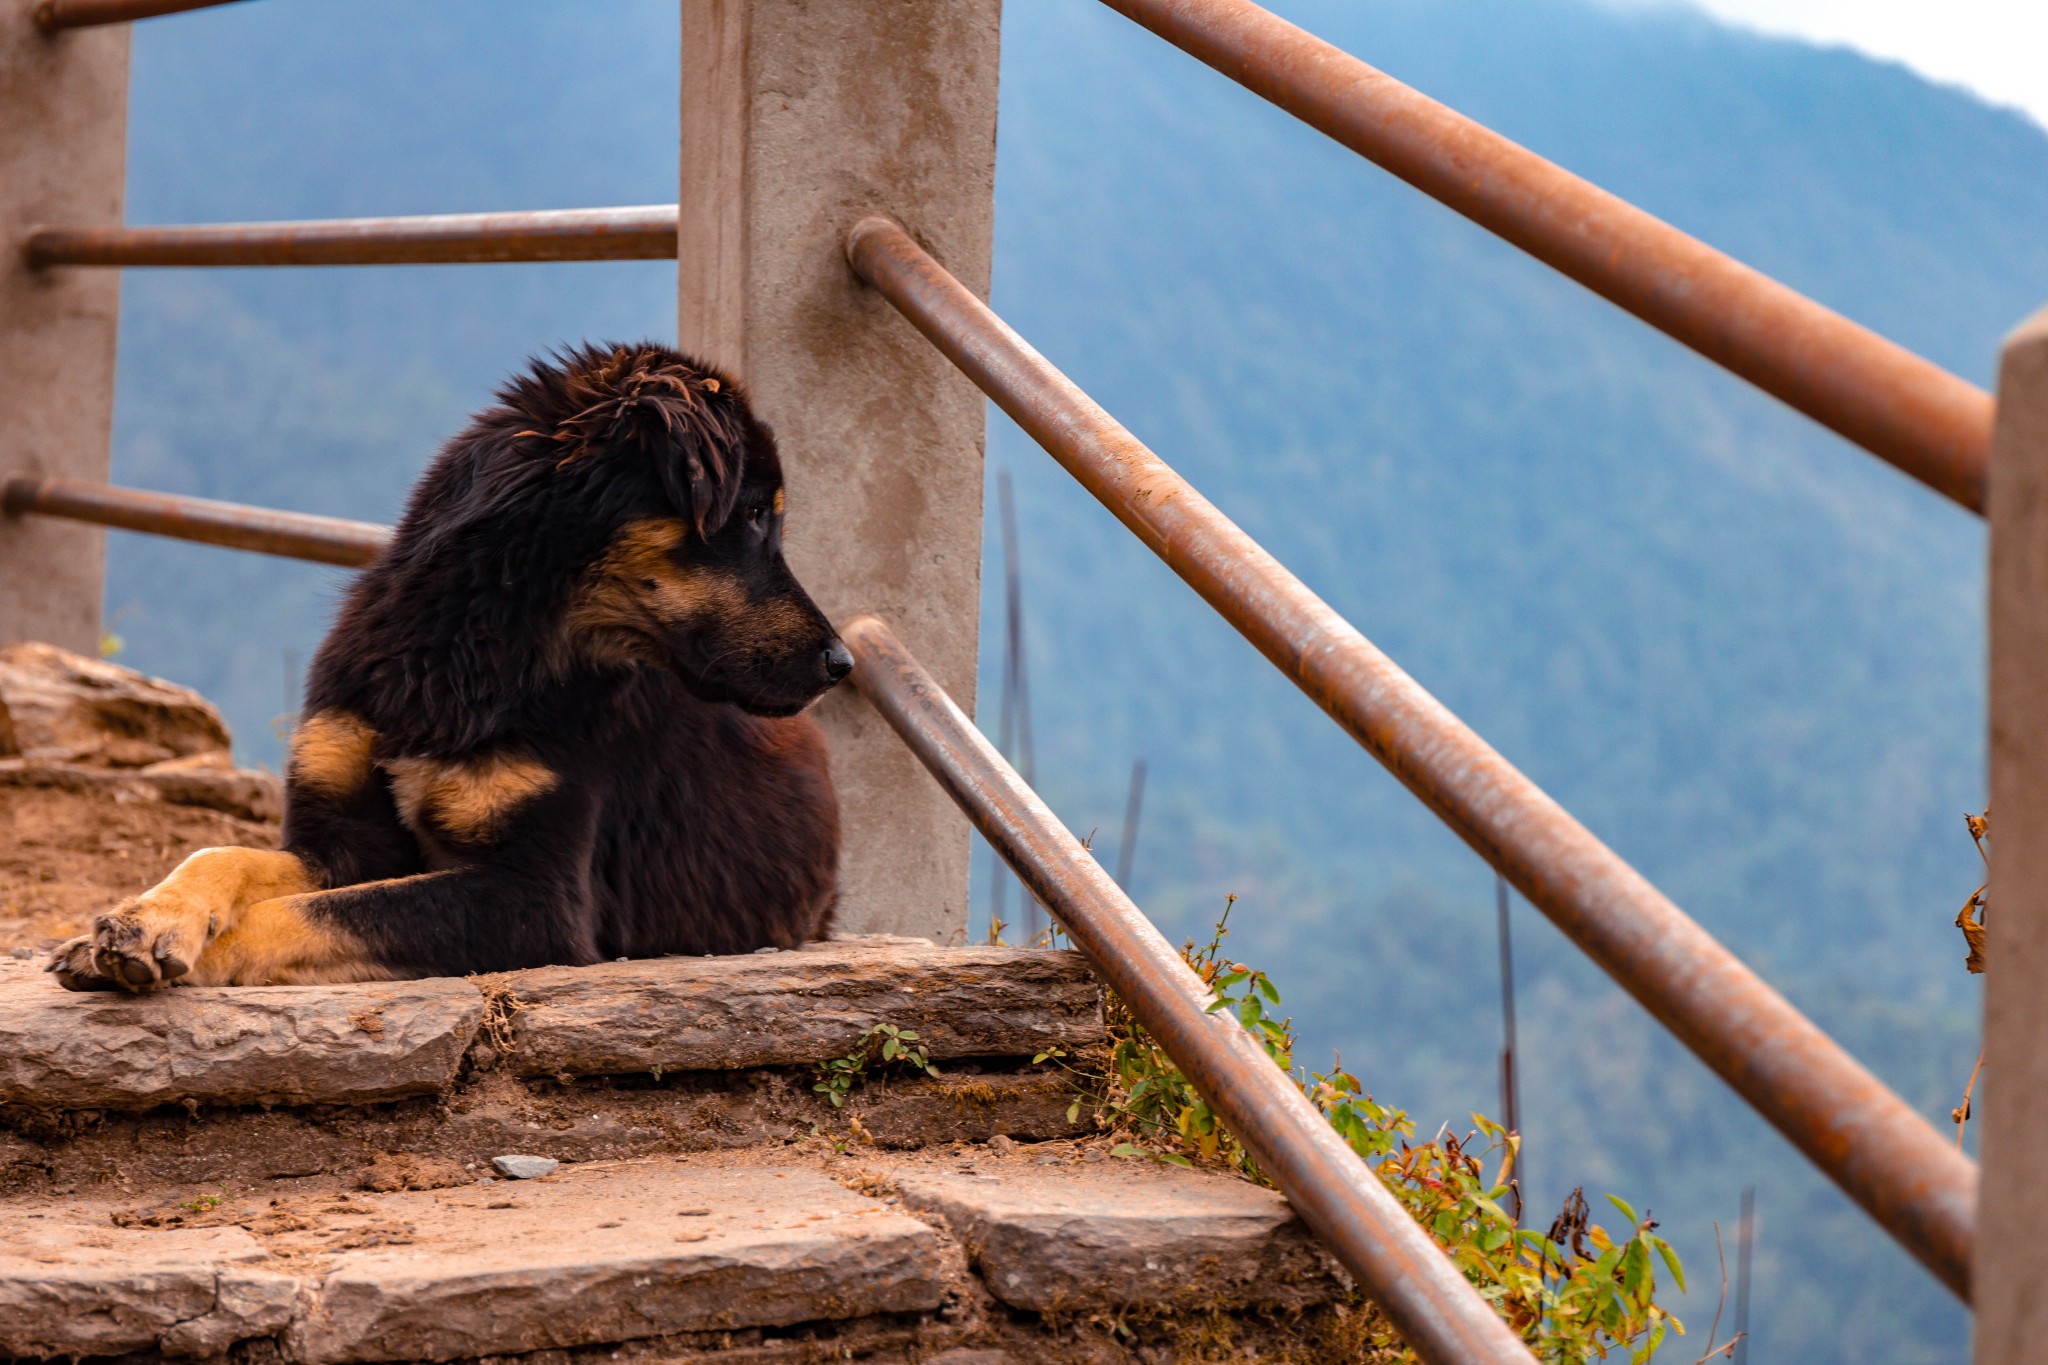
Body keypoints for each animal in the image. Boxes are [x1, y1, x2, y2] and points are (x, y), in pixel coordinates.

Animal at [49, 341, 847, 986]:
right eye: (754, 516)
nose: (841, 663)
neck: (473, 651)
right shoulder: (343, 840)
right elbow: (223, 854)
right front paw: (142, 919)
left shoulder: (535, 897)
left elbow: (302, 914)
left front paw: (189, 948)